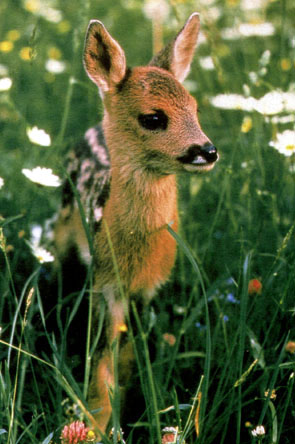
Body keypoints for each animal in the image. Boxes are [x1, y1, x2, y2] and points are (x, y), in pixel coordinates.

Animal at [53, 11, 219, 438]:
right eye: (154, 117)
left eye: (195, 108)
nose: (207, 151)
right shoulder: (105, 285)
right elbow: (102, 360)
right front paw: (95, 425)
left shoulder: (147, 289)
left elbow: (129, 360)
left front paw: (122, 415)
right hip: (62, 239)